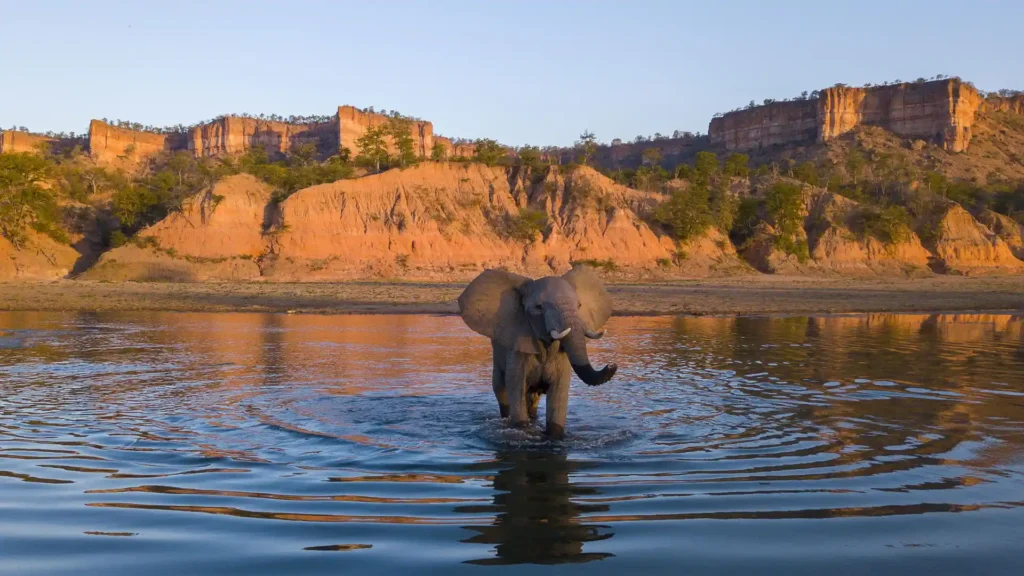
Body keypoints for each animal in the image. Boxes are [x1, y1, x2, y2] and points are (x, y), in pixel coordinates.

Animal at [460, 264, 618, 434]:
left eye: (579, 306)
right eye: (539, 307)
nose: (612, 364)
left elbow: (559, 395)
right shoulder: (517, 350)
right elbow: (516, 391)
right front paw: (522, 429)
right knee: (502, 391)